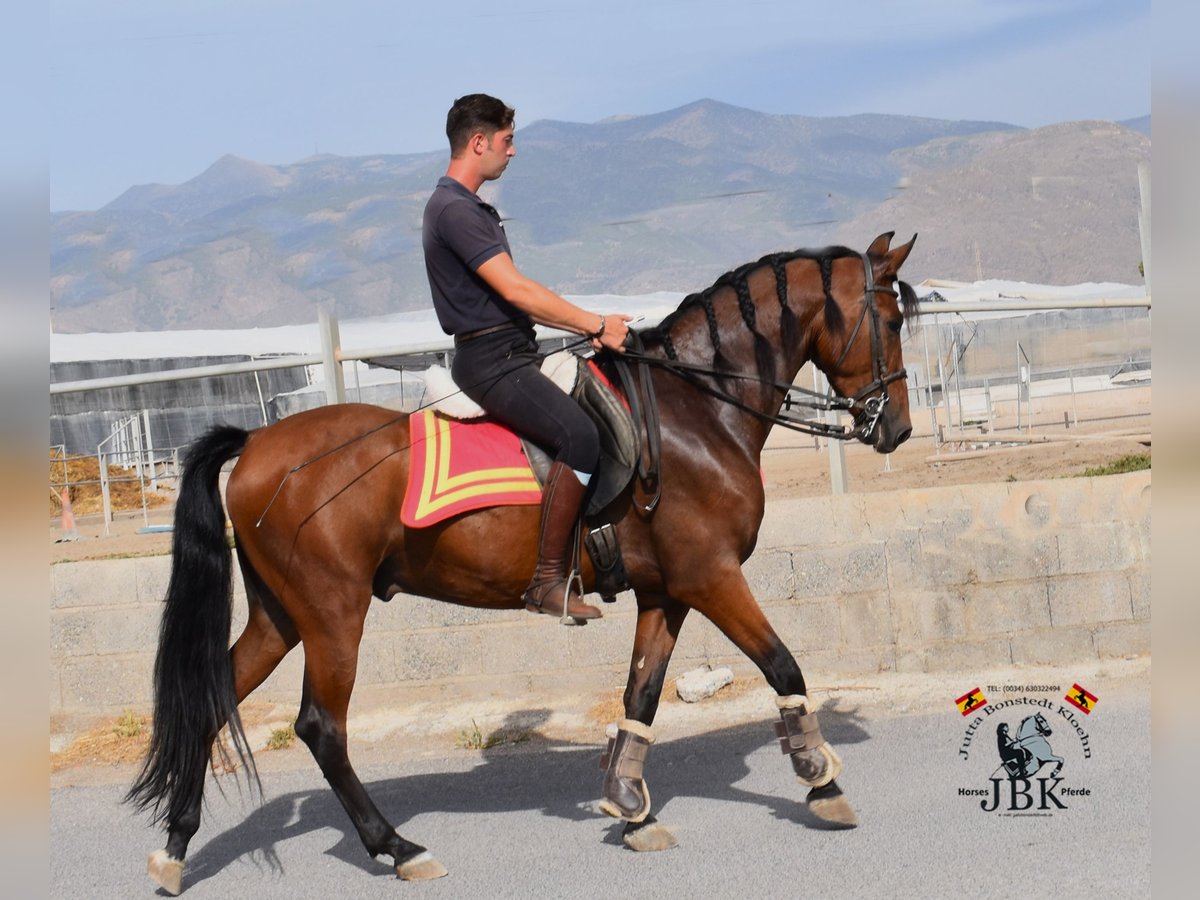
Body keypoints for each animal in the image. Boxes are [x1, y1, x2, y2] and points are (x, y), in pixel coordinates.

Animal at [129, 230, 916, 897]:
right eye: (891, 318)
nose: (899, 429)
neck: (695, 408)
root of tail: (258, 442)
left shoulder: (667, 593)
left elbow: (641, 697)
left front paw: (631, 807)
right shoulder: (711, 576)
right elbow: (783, 665)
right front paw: (821, 781)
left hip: (281, 615)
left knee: (211, 703)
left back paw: (174, 851)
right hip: (331, 614)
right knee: (322, 727)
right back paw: (399, 847)